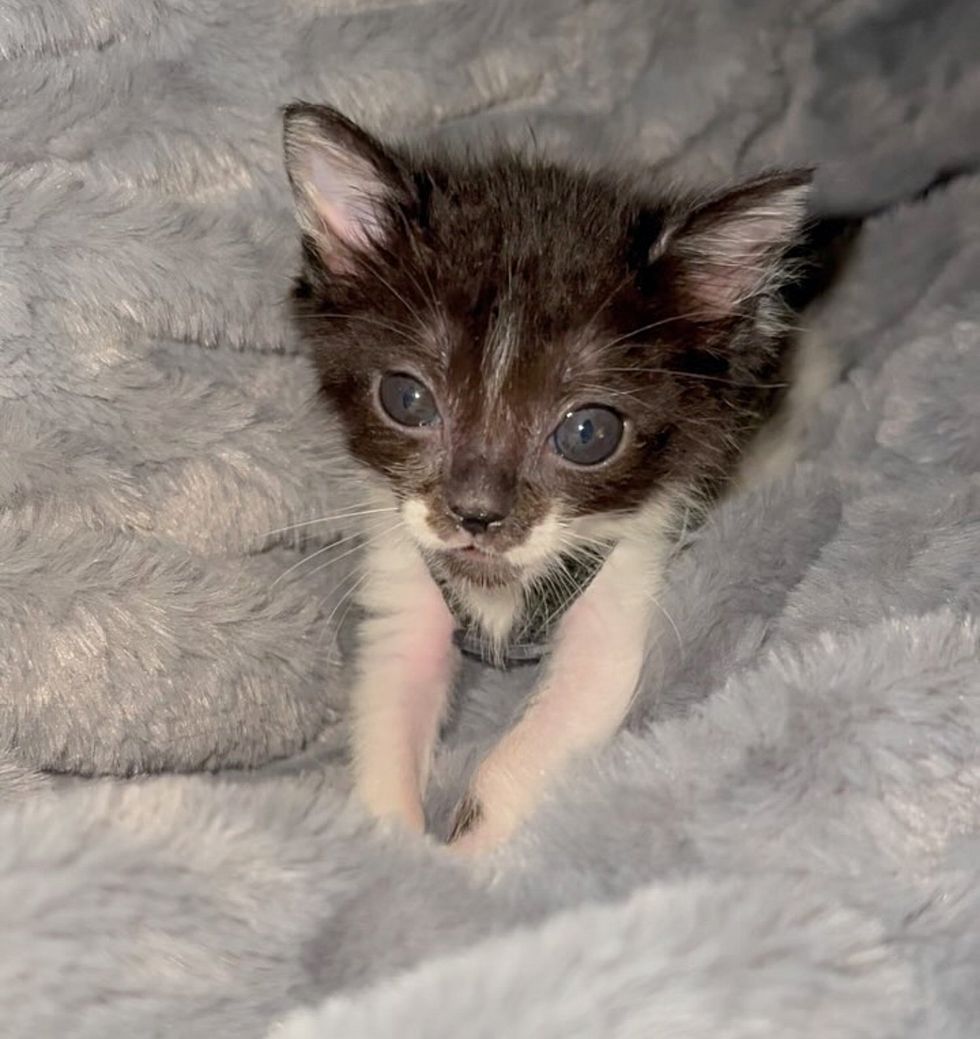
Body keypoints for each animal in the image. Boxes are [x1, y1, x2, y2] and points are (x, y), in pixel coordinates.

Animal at [280, 103, 810, 851]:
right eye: (407, 399)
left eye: (588, 434)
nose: (476, 513)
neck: (503, 588)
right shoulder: (404, 569)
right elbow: (390, 698)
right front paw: (394, 847)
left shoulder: (626, 576)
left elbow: (540, 737)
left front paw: (469, 859)